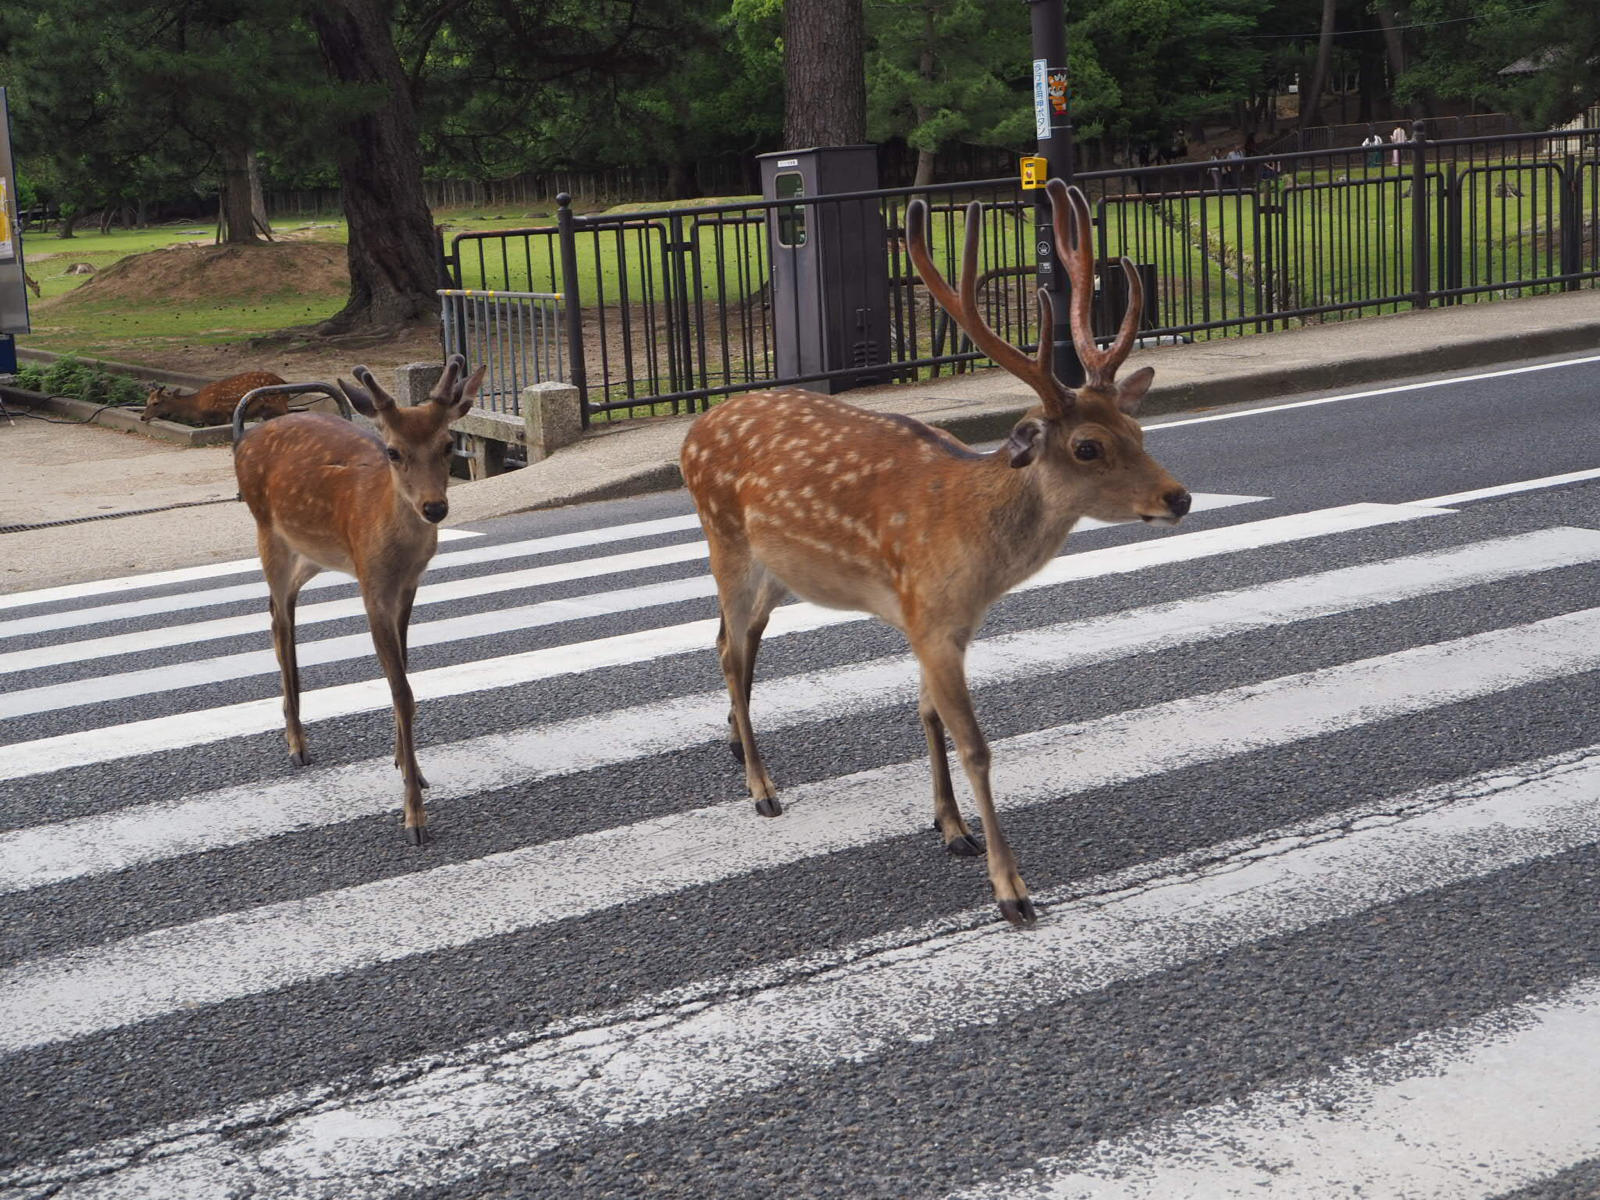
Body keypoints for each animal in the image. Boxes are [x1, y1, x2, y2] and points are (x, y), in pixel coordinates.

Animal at [143, 376, 291, 432]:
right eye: (146, 401)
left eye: (156, 403)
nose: (142, 417)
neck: (197, 407)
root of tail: (284, 382)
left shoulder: (221, 416)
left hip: (277, 406)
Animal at [232, 355, 480, 844]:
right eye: (394, 451)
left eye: (448, 445)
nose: (434, 508)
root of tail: (244, 439)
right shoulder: (372, 586)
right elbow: (402, 690)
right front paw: (414, 816)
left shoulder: (408, 586)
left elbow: (403, 672)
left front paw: (407, 765)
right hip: (267, 531)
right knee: (280, 619)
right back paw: (297, 743)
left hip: (315, 553)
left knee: (277, 607)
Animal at [675, 180, 1190, 928]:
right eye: (1088, 446)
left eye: (1138, 428)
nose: (1179, 497)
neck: (974, 547)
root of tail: (691, 433)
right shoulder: (932, 616)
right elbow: (975, 743)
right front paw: (1012, 891)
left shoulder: (941, 622)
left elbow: (926, 715)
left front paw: (950, 829)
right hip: (727, 541)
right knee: (730, 651)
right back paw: (762, 788)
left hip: (778, 572)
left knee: (729, 643)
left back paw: (736, 747)